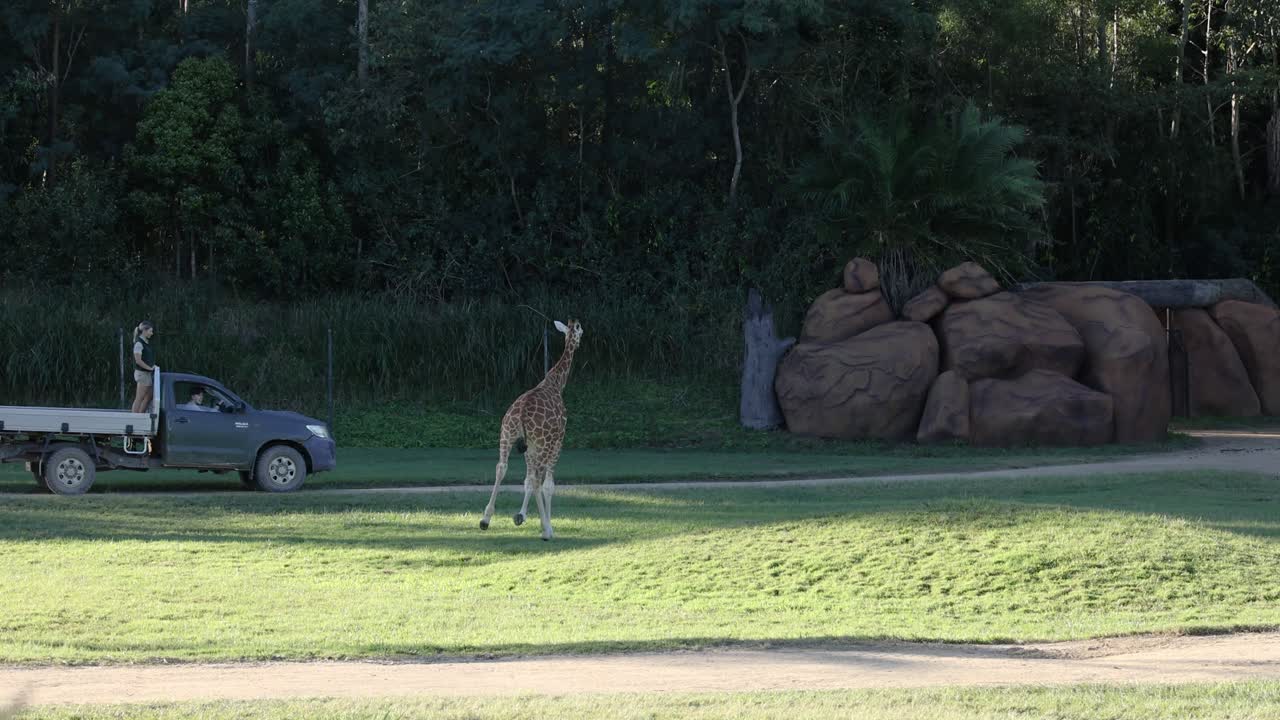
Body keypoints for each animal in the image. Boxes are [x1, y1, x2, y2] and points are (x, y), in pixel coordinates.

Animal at [480, 318, 583, 540]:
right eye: (581, 331)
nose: (579, 343)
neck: (555, 382)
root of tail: (520, 414)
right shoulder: (557, 440)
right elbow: (547, 484)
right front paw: (547, 524)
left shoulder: (530, 446)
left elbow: (527, 479)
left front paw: (520, 515)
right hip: (544, 443)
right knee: (538, 480)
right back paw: (546, 530)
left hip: (506, 435)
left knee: (501, 467)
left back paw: (485, 519)